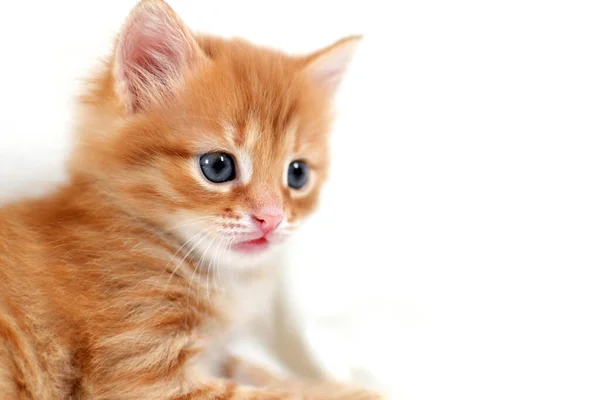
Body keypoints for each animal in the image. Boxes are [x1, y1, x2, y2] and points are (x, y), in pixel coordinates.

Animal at [0, 0, 376, 398]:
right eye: (218, 166)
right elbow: (270, 394)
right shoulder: (139, 371)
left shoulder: (215, 354)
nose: (271, 218)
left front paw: (332, 384)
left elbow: (259, 373)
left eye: (298, 174)